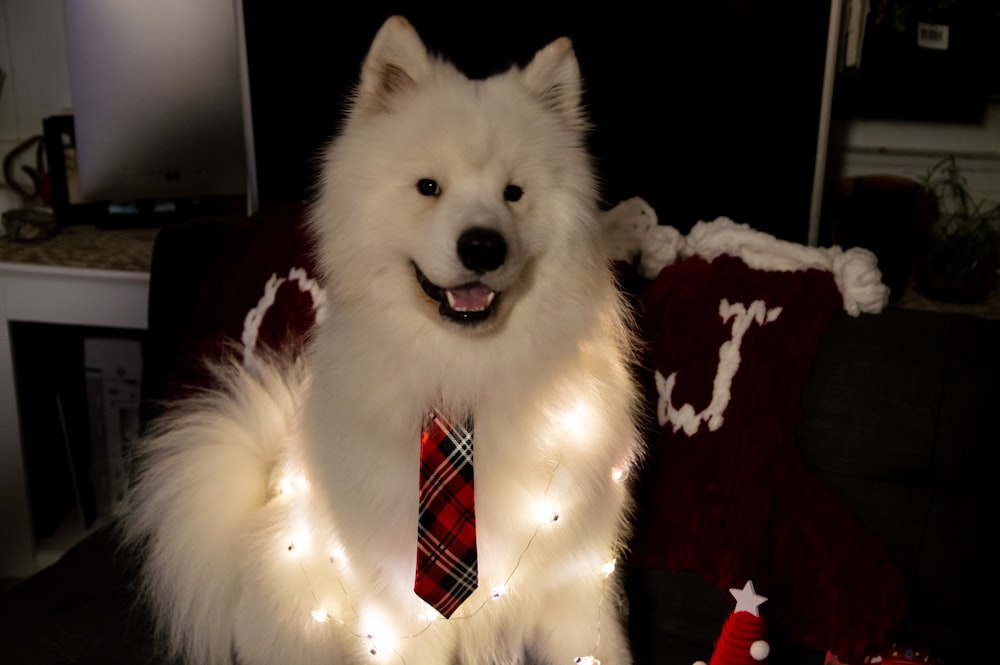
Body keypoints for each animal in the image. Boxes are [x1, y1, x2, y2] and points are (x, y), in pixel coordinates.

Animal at [123, 15, 640, 664]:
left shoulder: (576, 583)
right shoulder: (401, 610)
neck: (461, 375)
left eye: (515, 193)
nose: (483, 246)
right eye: (428, 187)